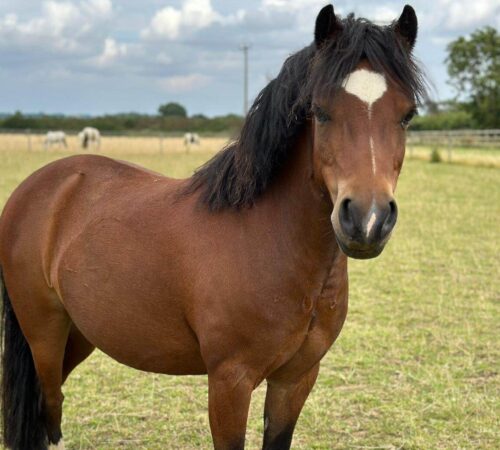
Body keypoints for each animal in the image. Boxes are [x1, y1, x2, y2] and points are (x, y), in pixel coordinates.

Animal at [0, 4, 426, 450]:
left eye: (407, 115)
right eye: (320, 111)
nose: (367, 219)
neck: (269, 240)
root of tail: (38, 186)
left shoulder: (296, 379)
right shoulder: (229, 383)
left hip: (80, 333)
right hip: (44, 336)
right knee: (49, 411)